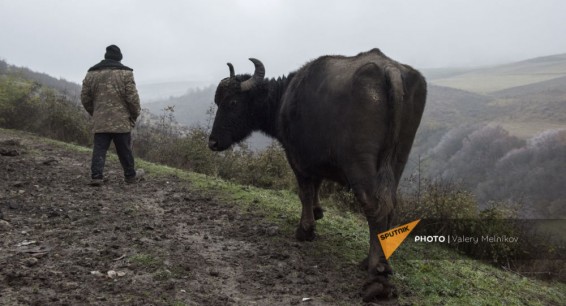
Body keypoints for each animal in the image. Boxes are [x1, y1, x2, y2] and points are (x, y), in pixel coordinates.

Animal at [209, 48, 426, 302]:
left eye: (232, 102)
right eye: (218, 102)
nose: (213, 142)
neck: (284, 98)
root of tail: (389, 69)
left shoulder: (296, 156)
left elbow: (305, 191)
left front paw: (305, 229)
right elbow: (317, 185)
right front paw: (317, 211)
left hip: (360, 164)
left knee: (375, 207)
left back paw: (377, 276)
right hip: (397, 161)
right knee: (389, 206)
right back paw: (373, 260)